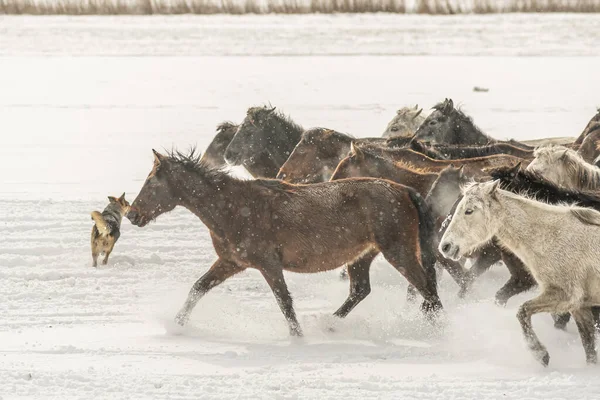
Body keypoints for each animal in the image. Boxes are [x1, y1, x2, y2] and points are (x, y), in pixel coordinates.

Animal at [127, 148, 446, 336]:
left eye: (152, 181)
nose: (132, 214)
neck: (232, 206)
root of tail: (404, 191)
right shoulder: (231, 262)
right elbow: (198, 288)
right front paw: (176, 325)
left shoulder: (268, 264)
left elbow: (284, 302)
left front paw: (297, 337)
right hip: (362, 255)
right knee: (361, 290)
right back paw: (329, 323)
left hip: (398, 251)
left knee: (426, 288)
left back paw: (440, 333)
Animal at [436, 181, 600, 366]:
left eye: (469, 210)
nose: (445, 246)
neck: (551, 238)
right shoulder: (579, 306)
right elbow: (589, 348)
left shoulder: (564, 295)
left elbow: (522, 311)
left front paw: (540, 354)